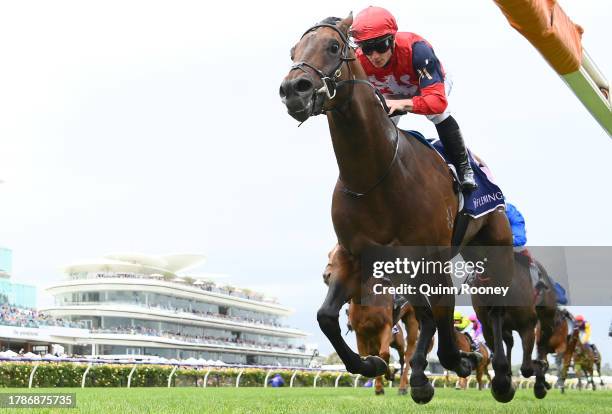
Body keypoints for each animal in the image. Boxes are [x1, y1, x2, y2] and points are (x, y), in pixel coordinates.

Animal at [282, 14, 516, 402]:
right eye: (293, 51)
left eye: (333, 46)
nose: (292, 89)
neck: (375, 177)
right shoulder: (354, 255)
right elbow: (326, 317)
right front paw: (372, 366)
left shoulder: (434, 260)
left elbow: (446, 337)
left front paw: (463, 360)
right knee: (427, 318)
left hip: (493, 247)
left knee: (494, 310)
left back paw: (500, 378)